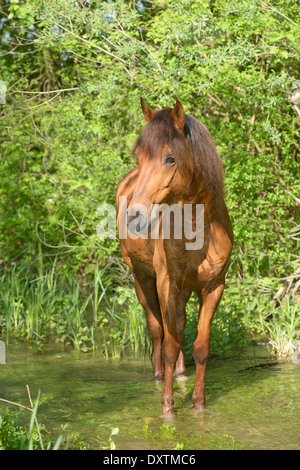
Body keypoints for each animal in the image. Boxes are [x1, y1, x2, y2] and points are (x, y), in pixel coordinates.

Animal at [116, 97, 233, 416]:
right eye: (139, 156)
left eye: (170, 158)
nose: (134, 216)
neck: (199, 230)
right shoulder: (166, 282)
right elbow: (168, 344)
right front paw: (168, 407)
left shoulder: (213, 287)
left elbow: (201, 347)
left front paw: (198, 403)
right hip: (142, 278)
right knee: (157, 328)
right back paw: (159, 376)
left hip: (182, 290)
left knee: (178, 325)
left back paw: (181, 372)